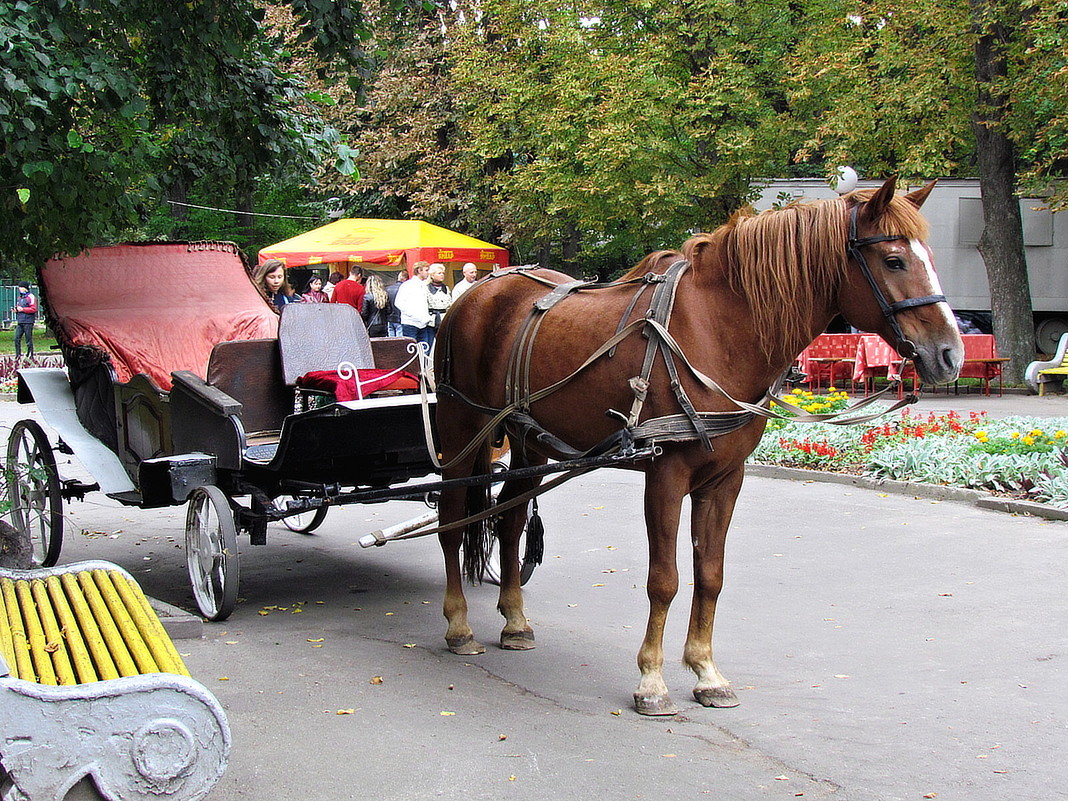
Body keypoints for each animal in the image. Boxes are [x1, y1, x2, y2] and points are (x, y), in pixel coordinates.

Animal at [429, 178, 965, 717]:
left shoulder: (726, 479)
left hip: (527, 442)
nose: (950, 354)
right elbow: (664, 580)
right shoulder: (666, 476)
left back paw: (516, 622)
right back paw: (458, 625)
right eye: (894, 260)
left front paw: (706, 671)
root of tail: (475, 292)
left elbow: (710, 575)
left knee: (510, 520)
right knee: (452, 522)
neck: (718, 329)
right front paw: (651, 679)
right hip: (461, 431)